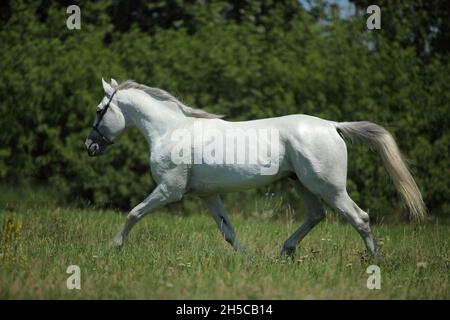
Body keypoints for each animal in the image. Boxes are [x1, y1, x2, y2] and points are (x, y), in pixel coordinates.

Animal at [84, 78, 426, 260]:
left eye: (100, 110)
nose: (89, 147)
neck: (170, 131)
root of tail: (333, 125)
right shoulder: (207, 196)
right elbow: (228, 232)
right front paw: (247, 260)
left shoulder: (169, 190)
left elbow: (134, 213)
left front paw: (113, 248)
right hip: (302, 184)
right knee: (316, 215)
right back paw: (284, 252)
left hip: (328, 187)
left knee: (360, 218)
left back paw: (376, 261)